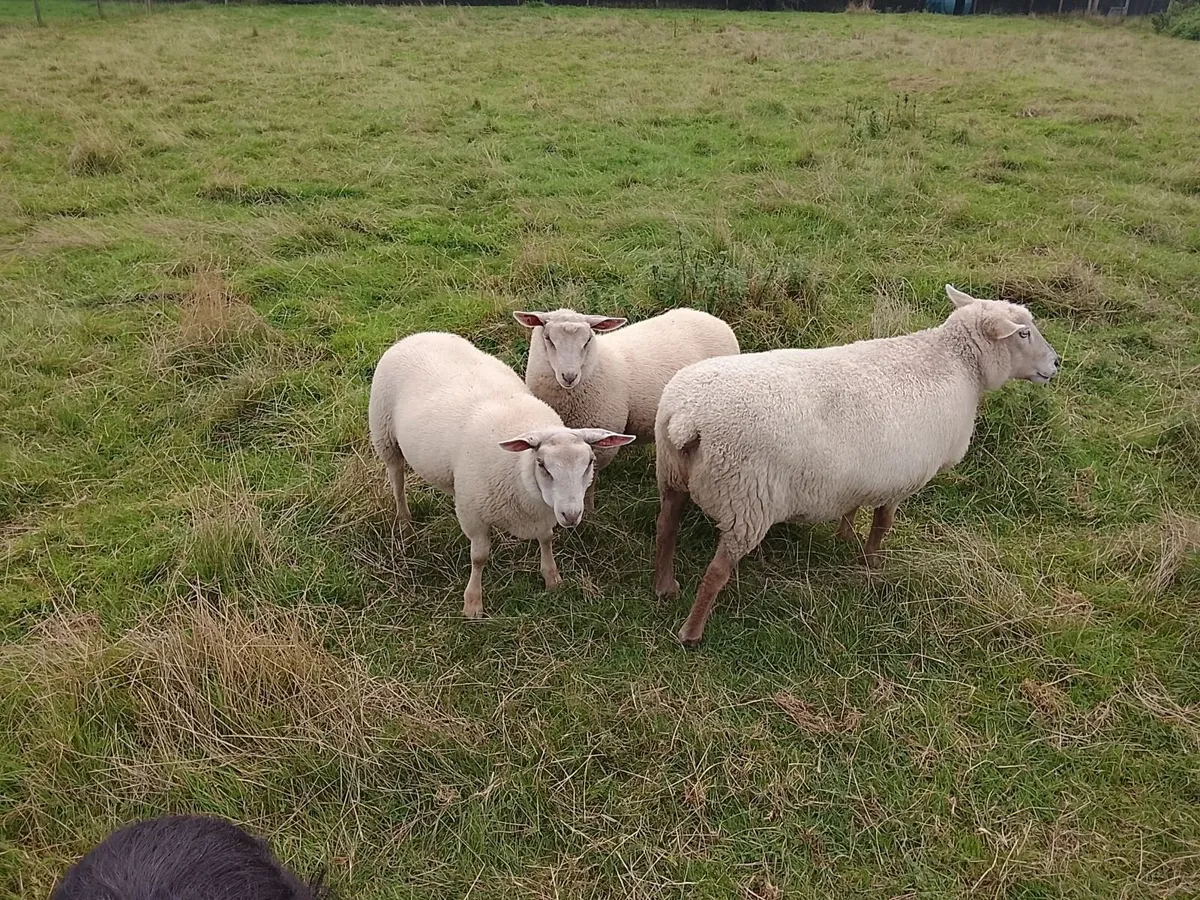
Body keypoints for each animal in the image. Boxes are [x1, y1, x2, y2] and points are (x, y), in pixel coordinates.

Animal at [369, 332, 635, 618]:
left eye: (590, 462)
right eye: (541, 464)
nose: (572, 515)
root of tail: (420, 335)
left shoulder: (543, 512)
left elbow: (546, 539)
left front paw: (552, 578)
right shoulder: (473, 513)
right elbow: (479, 557)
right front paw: (473, 603)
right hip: (384, 435)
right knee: (397, 479)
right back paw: (405, 523)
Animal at [514, 307, 739, 509]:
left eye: (587, 340)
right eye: (548, 338)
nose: (569, 376)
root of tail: (712, 319)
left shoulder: (600, 442)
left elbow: (589, 481)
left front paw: (589, 513)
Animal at [653, 285, 1060, 647]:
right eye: (1023, 332)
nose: (1056, 363)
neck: (956, 364)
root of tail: (688, 418)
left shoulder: (861, 476)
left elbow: (852, 508)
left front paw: (845, 536)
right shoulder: (903, 478)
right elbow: (883, 523)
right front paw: (870, 562)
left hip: (672, 474)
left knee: (665, 528)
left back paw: (664, 586)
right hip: (748, 500)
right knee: (716, 572)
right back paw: (691, 632)